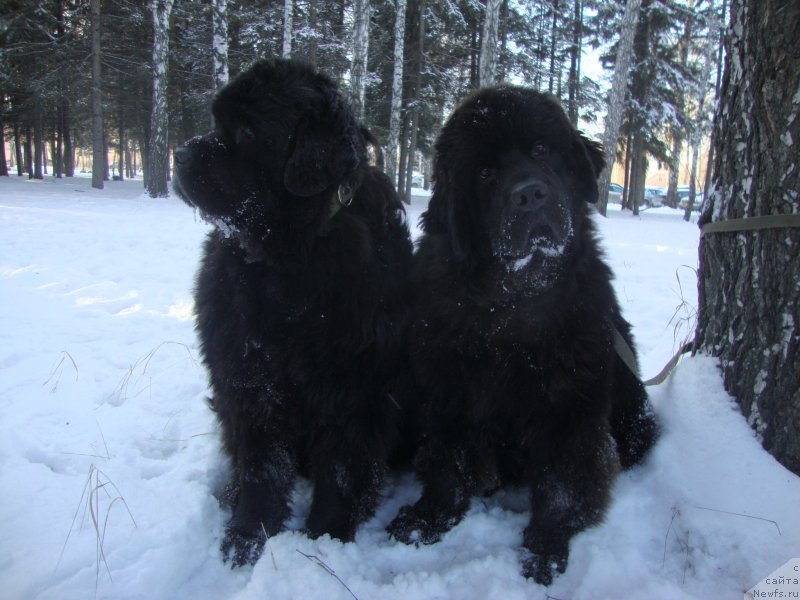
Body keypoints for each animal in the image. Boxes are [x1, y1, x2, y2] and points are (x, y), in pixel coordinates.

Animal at [173, 58, 412, 564]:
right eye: (215, 122)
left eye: (246, 131)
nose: (179, 154)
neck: (290, 260)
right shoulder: (249, 377)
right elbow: (262, 467)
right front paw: (245, 538)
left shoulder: (355, 389)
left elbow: (341, 472)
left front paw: (324, 544)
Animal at [386, 86, 656, 584]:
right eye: (485, 173)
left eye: (542, 149)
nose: (529, 194)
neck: (510, 308)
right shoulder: (450, 392)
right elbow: (448, 463)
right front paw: (427, 518)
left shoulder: (571, 408)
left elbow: (563, 483)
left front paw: (546, 547)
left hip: (635, 421)